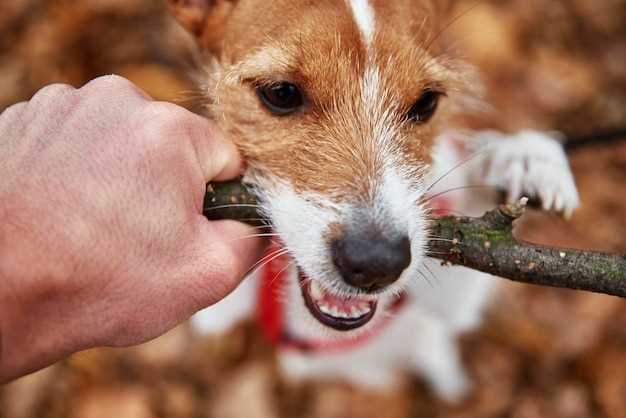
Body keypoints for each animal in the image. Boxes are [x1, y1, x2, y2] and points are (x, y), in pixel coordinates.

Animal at [166, 0, 576, 400]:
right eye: (280, 93)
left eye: (426, 102)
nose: (377, 264)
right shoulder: (218, 313)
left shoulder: (446, 303)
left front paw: (521, 158)